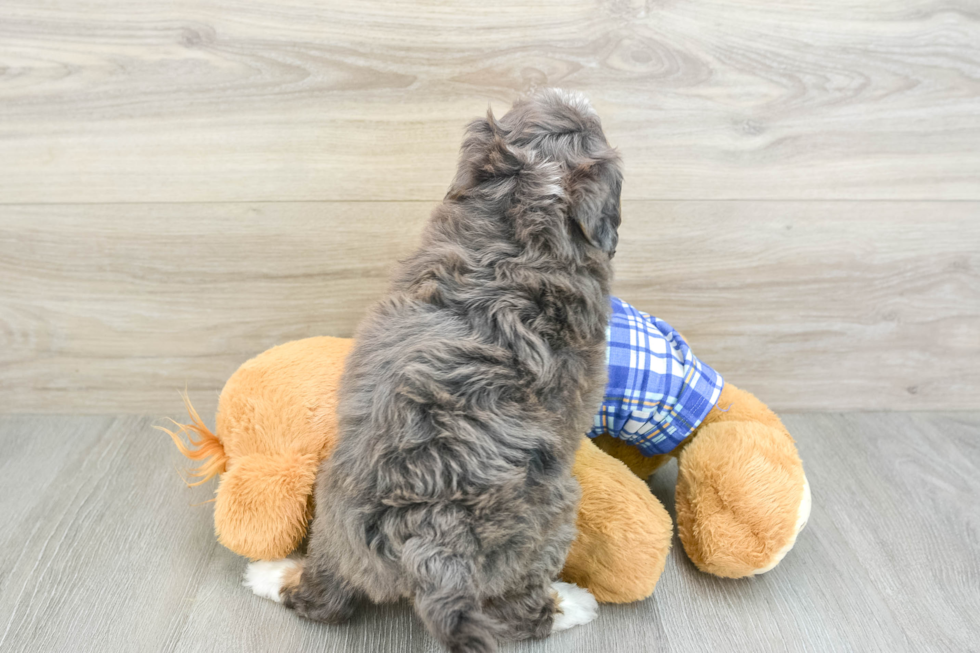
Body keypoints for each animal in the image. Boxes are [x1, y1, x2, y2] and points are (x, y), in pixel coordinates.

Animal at [249, 90, 624, 652]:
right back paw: (569, 605)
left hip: (337, 522)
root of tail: (432, 536)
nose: (576, 93)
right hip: (552, 520)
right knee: (522, 611)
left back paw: (272, 575)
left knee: (324, 598)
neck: (522, 219)